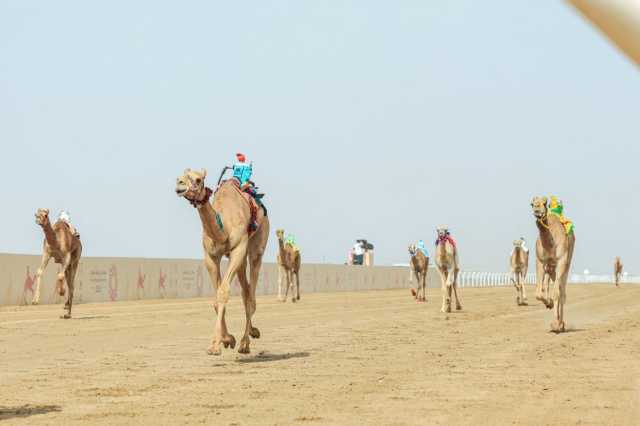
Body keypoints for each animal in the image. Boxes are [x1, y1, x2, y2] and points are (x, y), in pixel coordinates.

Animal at [174, 168, 268, 354]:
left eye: (198, 179)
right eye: (179, 177)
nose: (179, 184)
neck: (223, 227)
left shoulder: (238, 248)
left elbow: (223, 292)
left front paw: (215, 346)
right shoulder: (210, 256)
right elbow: (216, 299)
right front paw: (227, 339)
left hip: (257, 244)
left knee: (251, 294)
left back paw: (245, 343)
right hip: (241, 260)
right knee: (246, 291)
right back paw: (252, 332)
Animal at [528, 196, 576, 332]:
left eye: (545, 203)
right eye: (532, 204)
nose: (537, 210)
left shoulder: (561, 261)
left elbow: (557, 293)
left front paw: (556, 325)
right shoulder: (540, 261)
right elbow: (538, 293)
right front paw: (548, 303)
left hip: (566, 264)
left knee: (562, 292)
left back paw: (561, 324)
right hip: (550, 269)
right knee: (550, 286)